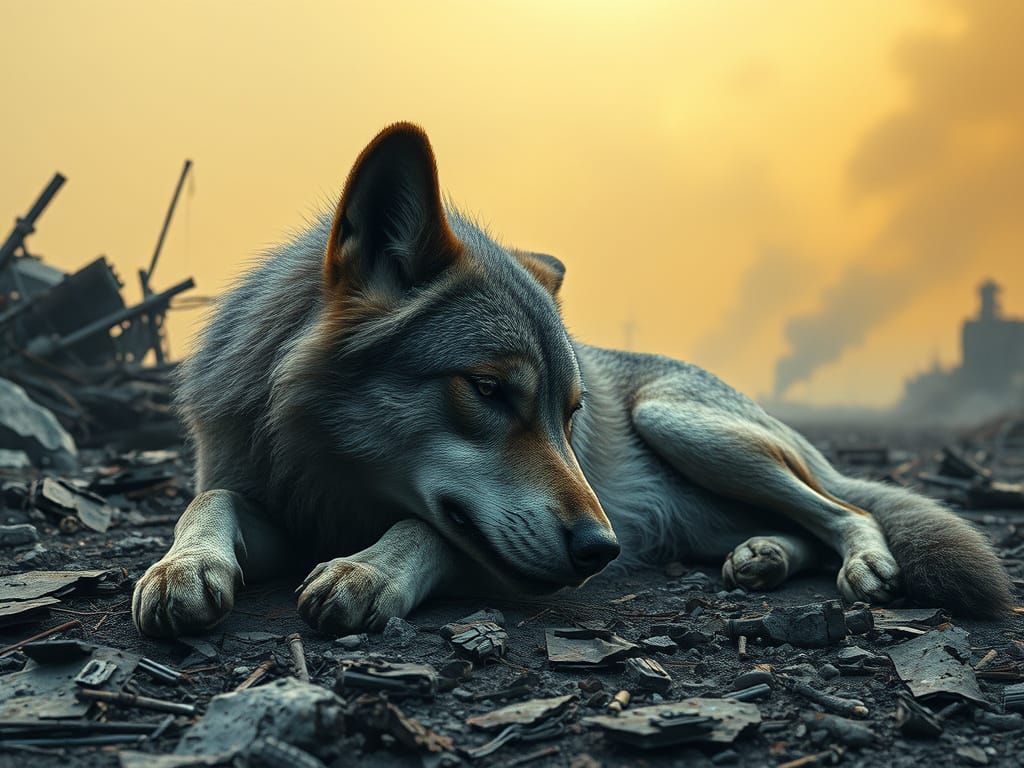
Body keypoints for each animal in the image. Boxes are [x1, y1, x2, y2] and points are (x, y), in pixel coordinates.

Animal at [132, 123, 1013, 638]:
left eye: (569, 413)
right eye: (490, 390)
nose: (601, 549)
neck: (325, 468)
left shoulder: (477, 551)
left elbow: (424, 527)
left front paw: (365, 571)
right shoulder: (271, 501)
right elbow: (209, 501)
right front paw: (183, 569)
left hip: (683, 426)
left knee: (846, 508)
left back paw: (864, 566)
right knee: (796, 523)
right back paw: (762, 556)